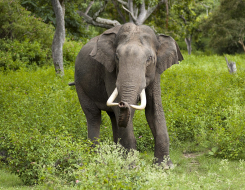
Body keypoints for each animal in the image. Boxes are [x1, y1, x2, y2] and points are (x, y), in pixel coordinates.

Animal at [72, 22, 183, 168]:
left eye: (150, 58)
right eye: (117, 57)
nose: (123, 103)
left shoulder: (156, 71)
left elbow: (154, 110)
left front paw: (164, 167)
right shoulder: (109, 70)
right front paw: (131, 167)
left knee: (114, 117)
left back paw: (116, 156)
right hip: (80, 85)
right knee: (94, 116)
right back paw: (96, 159)